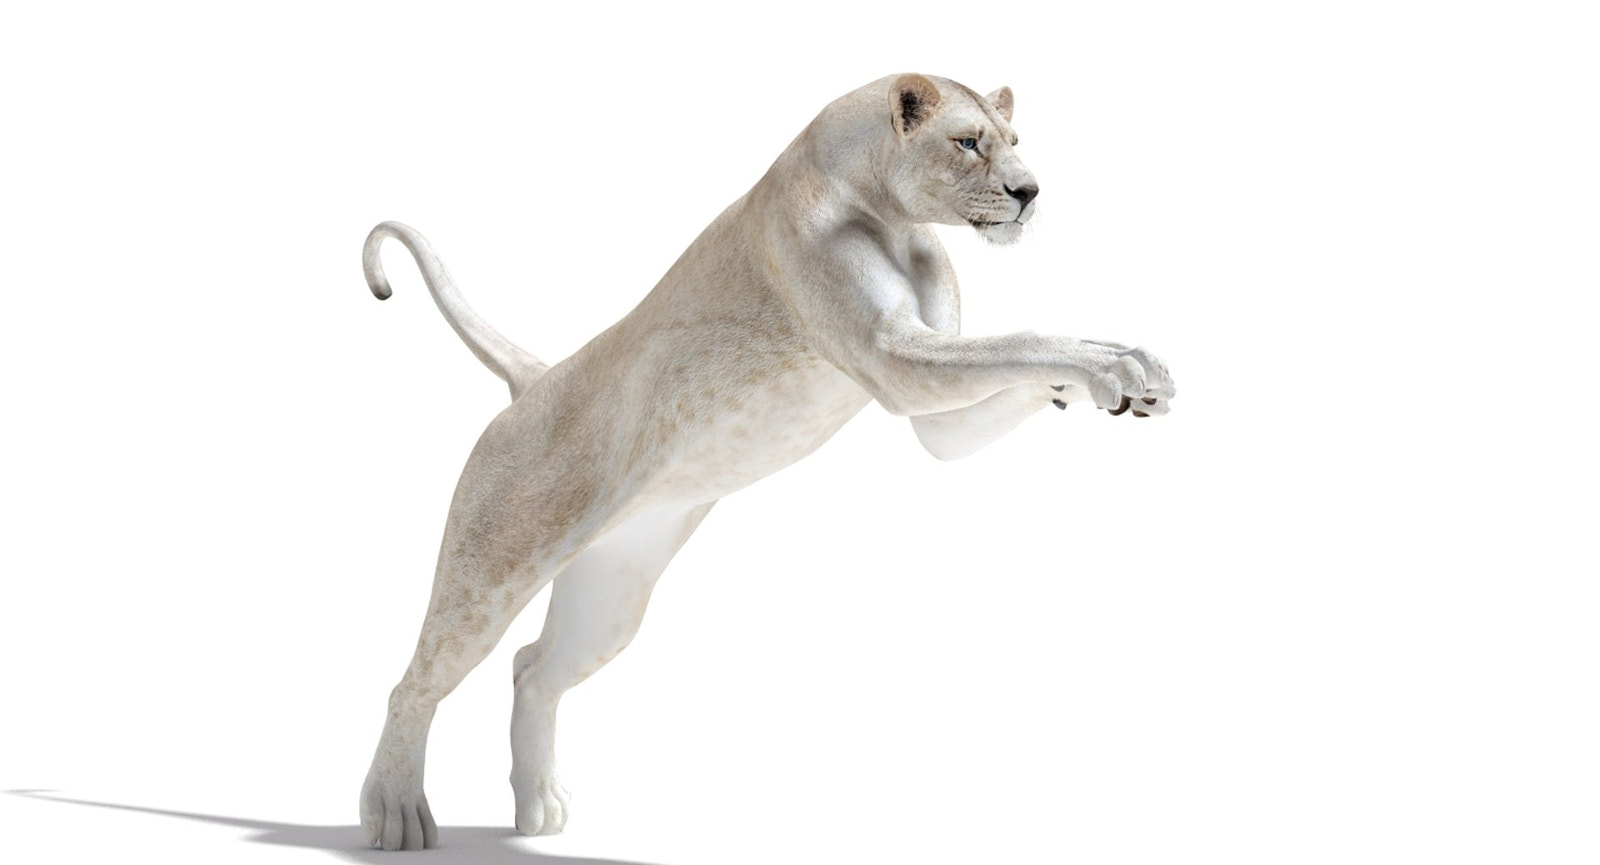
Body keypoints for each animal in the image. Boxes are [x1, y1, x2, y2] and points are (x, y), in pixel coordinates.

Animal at [357, 73, 1175, 850]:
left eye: (1014, 140)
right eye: (969, 141)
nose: (1030, 192)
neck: (894, 213)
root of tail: (533, 380)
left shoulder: (932, 412)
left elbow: (989, 388)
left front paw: (1112, 381)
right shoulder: (891, 356)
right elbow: (1026, 337)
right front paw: (1116, 362)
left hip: (612, 595)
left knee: (531, 668)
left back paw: (539, 810)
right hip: (494, 565)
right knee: (415, 684)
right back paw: (394, 816)